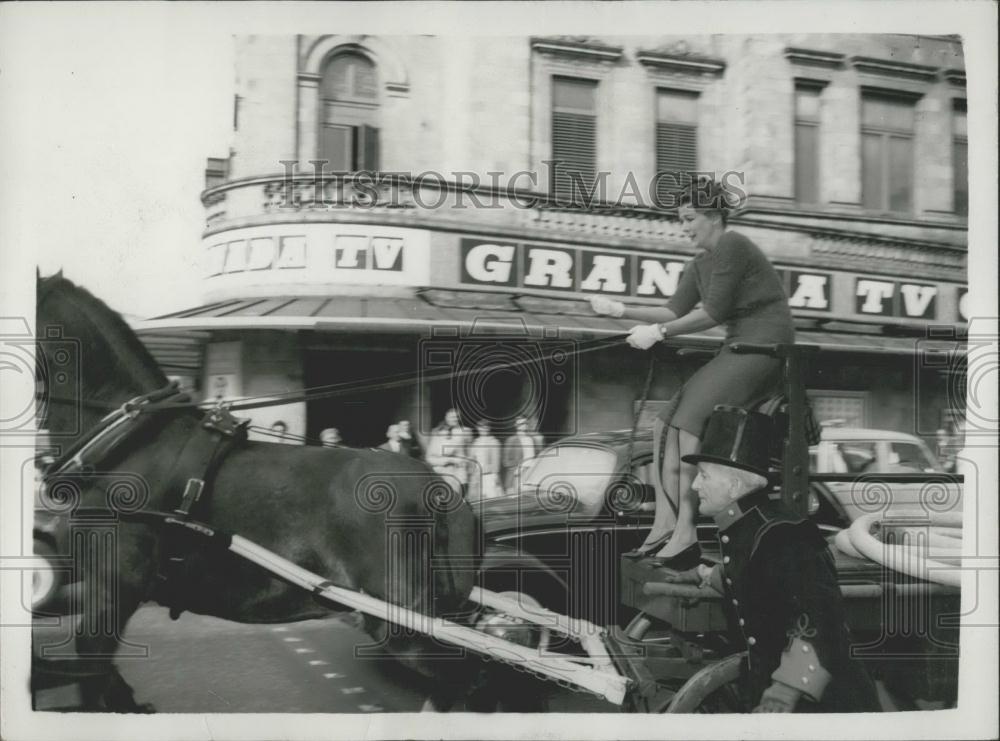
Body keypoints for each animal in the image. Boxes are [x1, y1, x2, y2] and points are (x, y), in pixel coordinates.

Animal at [31, 274, 484, 712]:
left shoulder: (114, 586)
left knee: (466, 683)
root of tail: (440, 488)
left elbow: (94, 669)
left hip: (405, 625)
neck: (129, 441)